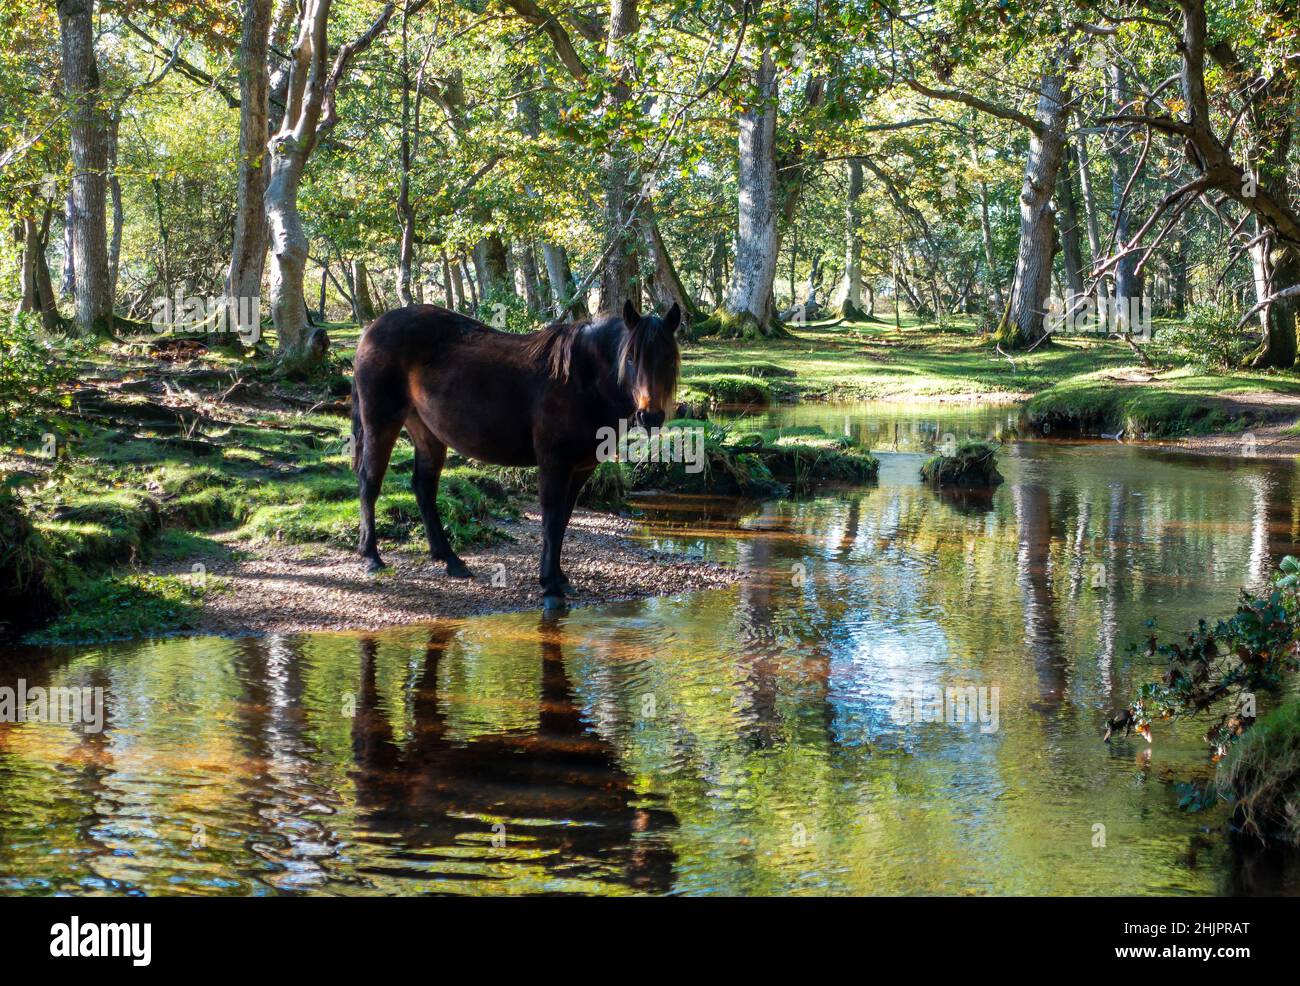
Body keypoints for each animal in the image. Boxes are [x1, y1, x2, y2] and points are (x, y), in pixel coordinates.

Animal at [350, 299, 681, 607]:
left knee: (423, 488)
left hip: (427, 433)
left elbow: (563, 519)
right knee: (370, 483)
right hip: (382, 422)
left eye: (668, 359)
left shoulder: (580, 469)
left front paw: (560, 577)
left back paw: (450, 561)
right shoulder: (554, 464)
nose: (650, 416)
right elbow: (551, 520)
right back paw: (371, 557)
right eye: (631, 358)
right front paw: (550, 586)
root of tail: (372, 329)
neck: (582, 379)